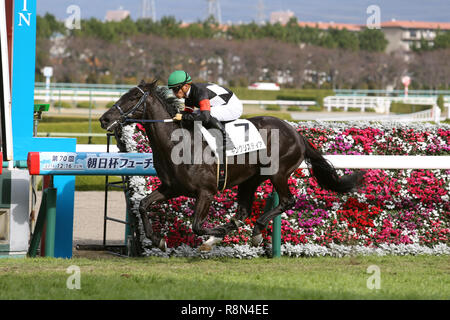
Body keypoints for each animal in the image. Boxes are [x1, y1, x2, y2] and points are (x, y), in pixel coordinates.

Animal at [100, 79, 364, 250]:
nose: (104, 118)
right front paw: (158, 240)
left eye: (134, 97)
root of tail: (296, 133)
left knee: (287, 201)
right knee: (243, 212)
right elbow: (144, 205)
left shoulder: (206, 192)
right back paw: (235, 231)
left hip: (278, 172)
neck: (179, 143)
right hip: (250, 179)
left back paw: (255, 230)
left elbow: (197, 226)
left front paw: (214, 232)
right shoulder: (171, 187)